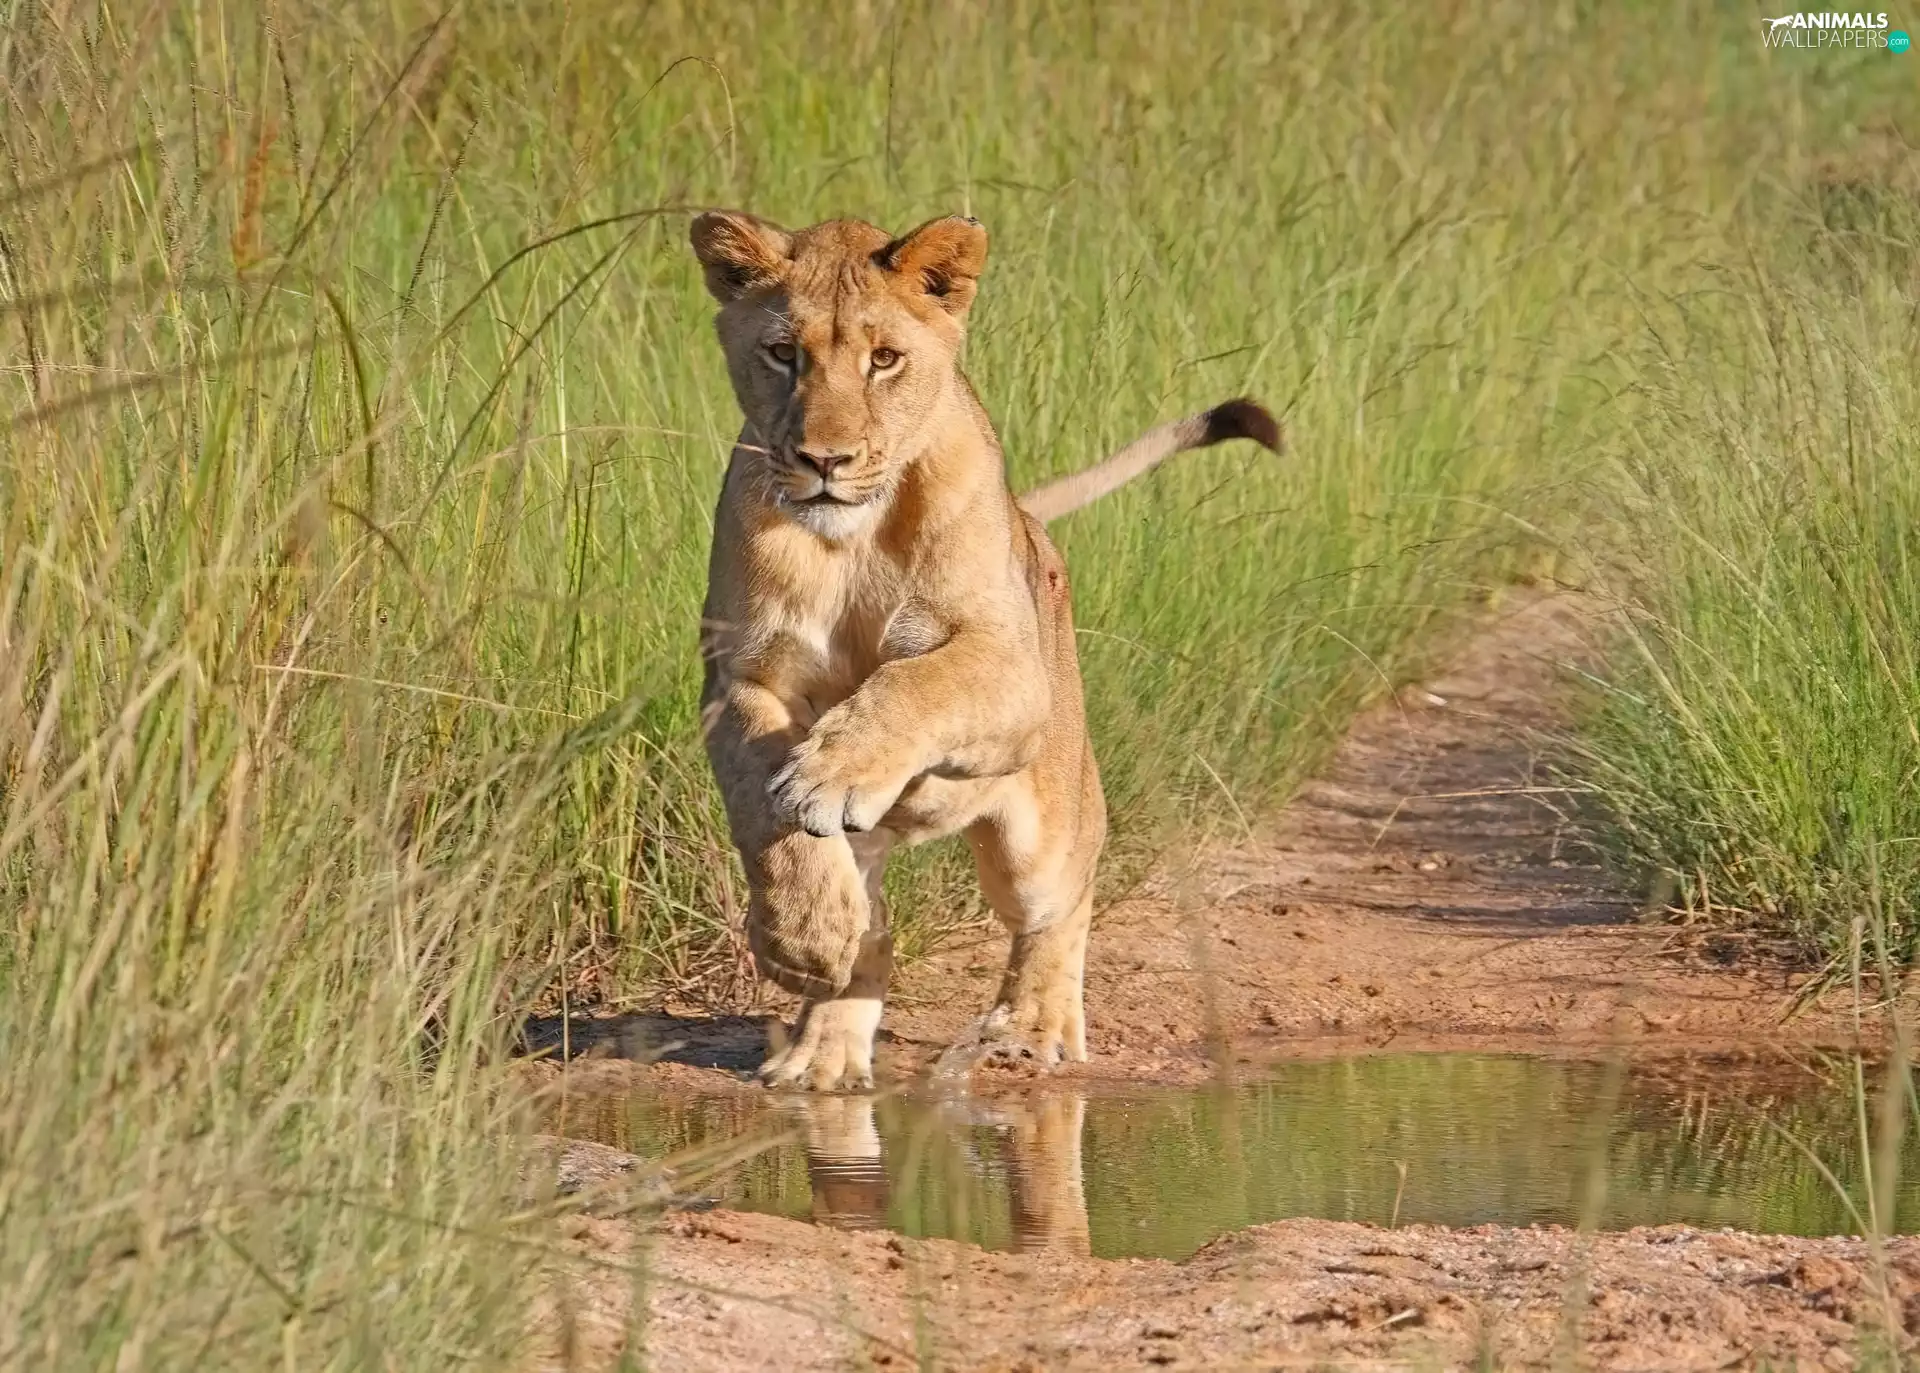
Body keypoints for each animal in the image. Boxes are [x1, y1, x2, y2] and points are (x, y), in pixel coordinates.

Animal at [689, 210, 1280, 1091]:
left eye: (884, 359)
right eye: (783, 352)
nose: (824, 460)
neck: (850, 538)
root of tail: (1030, 521)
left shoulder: (1008, 665)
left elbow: (913, 684)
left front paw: (835, 773)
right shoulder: (742, 679)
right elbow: (766, 802)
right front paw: (803, 936)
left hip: (1042, 830)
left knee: (1061, 898)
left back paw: (1032, 1028)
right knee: (876, 932)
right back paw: (823, 1046)